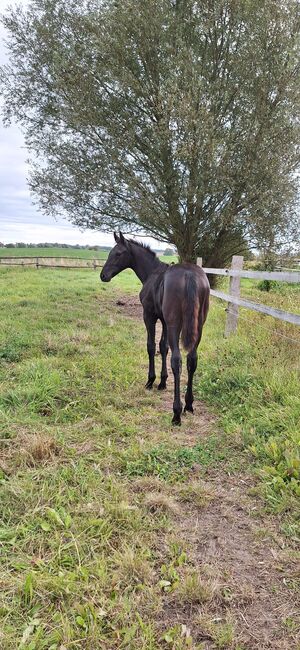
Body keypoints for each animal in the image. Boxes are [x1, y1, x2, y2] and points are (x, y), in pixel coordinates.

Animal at [99, 230, 210, 422]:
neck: (153, 273)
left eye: (118, 253)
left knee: (177, 361)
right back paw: (188, 404)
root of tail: (189, 275)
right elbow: (163, 347)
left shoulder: (150, 316)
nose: (103, 276)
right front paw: (163, 382)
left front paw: (151, 381)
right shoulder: (164, 320)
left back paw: (176, 413)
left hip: (175, 325)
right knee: (192, 359)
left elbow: (151, 346)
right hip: (198, 326)